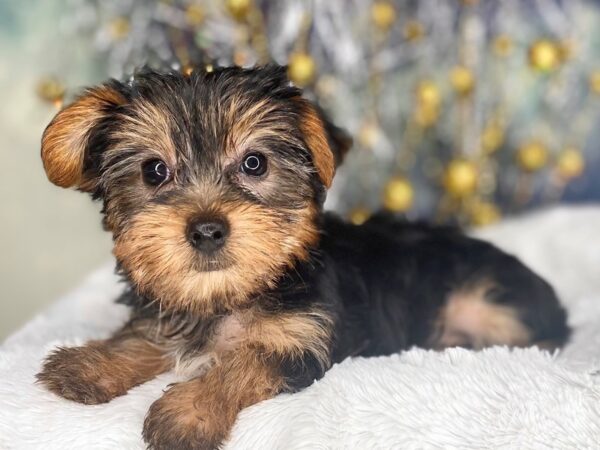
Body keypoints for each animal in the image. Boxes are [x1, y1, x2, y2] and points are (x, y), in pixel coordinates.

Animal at [35, 65, 568, 448]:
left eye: (255, 163)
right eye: (153, 171)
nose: (206, 229)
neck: (229, 295)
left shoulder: (301, 342)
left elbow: (243, 364)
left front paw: (188, 413)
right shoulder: (169, 315)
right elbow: (142, 337)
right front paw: (89, 365)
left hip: (487, 302)